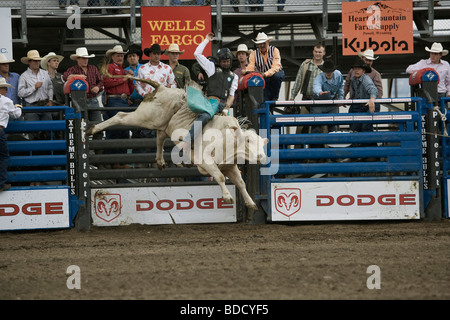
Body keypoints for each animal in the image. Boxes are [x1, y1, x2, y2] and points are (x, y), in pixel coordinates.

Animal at [87, 73, 268, 209]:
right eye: (248, 141)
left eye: (262, 144)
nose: (261, 156)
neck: (227, 139)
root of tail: (162, 88)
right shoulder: (206, 161)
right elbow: (220, 177)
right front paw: (228, 198)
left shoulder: (230, 166)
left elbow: (241, 183)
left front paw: (250, 203)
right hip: (147, 117)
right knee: (120, 116)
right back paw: (93, 129)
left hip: (163, 125)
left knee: (159, 137)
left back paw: (160, 161)